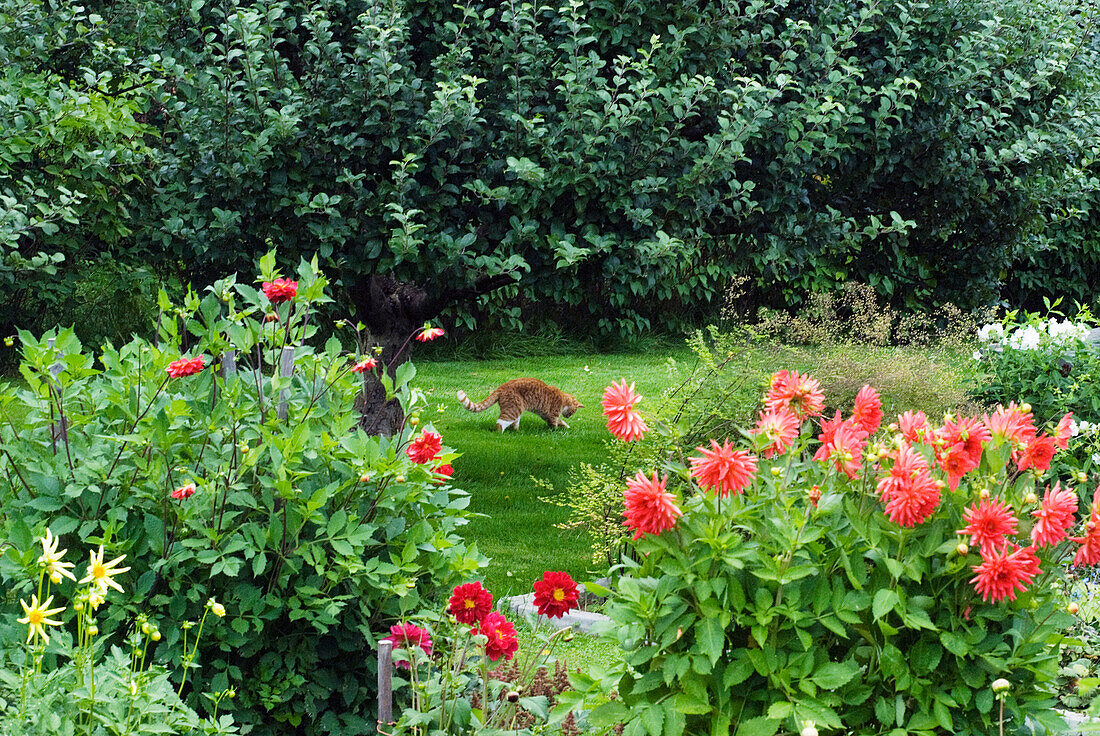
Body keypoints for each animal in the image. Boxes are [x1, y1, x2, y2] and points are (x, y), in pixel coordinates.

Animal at [457, 378, 585, 431]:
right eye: (573, 412)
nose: (568, 416)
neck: (563, 399)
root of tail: (502, 386)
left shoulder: (546, 415)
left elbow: (560, 422)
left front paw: (566, 426)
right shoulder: (552, 415)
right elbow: (555, 424)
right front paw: (557, 430)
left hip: (516, 411)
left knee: (513, 424)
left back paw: (517, 432)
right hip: (513, 410)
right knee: (500, 423)